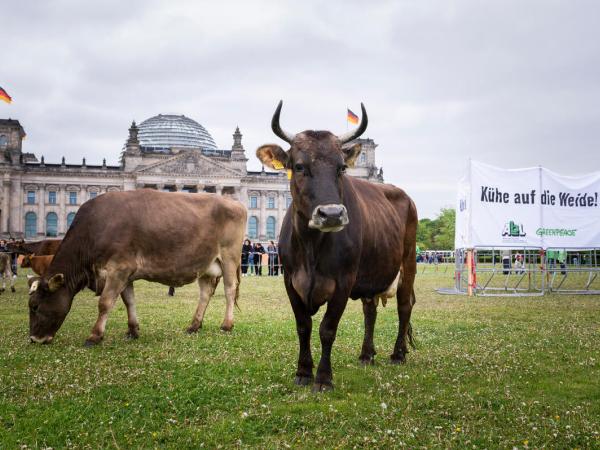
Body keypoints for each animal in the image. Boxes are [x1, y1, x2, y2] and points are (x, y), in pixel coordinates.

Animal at [27, 188, 247, 346]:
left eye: (35, 306)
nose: (34, 339)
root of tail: (235, 202)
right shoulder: (126, 274)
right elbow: (129, 301)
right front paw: (133, 330)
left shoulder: (118, 268)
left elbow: (105, 302)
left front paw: (94, 336)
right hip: (206, 264)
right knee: (205, 293)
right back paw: (194, 325)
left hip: (229, 258)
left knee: (229, 290)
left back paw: (226, 325)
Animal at [256, 102, 418, 390]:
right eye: (299, 166)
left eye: (342, 168)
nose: (331, 214)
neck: (311, 246)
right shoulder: (290, 281)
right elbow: (303, 326)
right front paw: (303, 372)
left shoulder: (343, 281)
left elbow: (327, 329)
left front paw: (323, 378)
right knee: (370, 309)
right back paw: (366, 355)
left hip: (407, 264)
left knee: (404, 306)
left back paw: (398, 354)